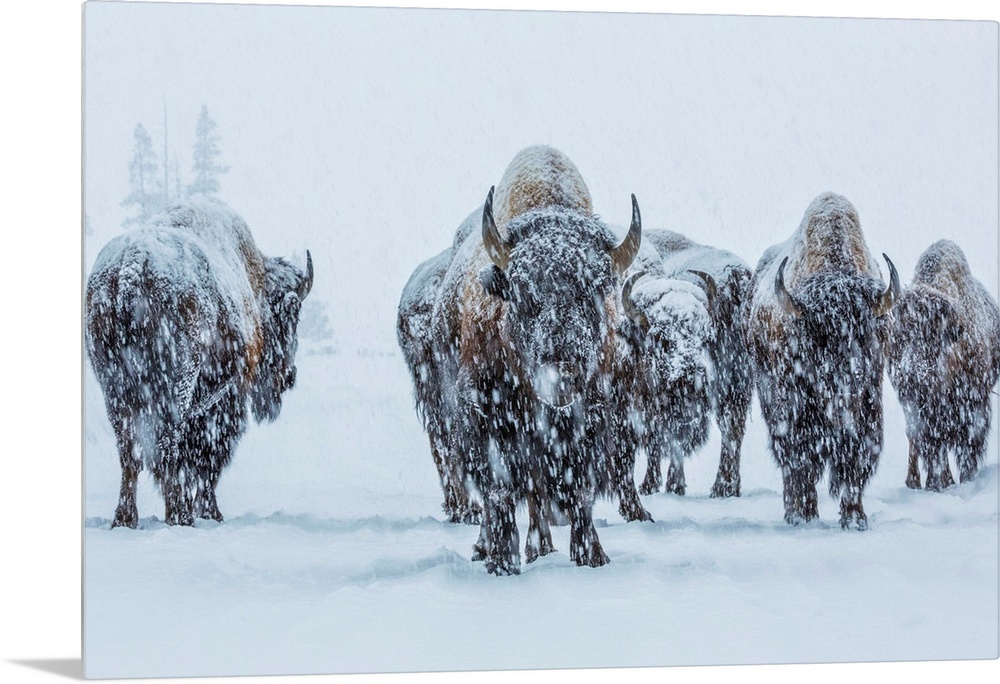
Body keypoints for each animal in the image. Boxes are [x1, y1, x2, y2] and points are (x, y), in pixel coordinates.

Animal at [85, 198, 312, 528]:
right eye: (291, 317)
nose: (289, 376)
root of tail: (132, 264)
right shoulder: (225, 396)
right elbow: (208, 457)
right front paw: (211, 513)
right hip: (178, 381)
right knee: (169, 442)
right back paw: (178, 515)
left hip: (113, 386)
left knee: (128, 449)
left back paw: (125, 518)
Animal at [436, 146, 640, 576]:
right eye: (522, 292)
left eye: (595, 293)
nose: (561, 373)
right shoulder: (486, 413)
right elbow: (498, 490)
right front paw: (501, 560)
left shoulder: (592, 416)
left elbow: (579, 488)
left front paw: (592, 555)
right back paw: (493, 547)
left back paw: (541, 546)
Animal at [744, 192, 900, 528]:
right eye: (817, 338)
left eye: (865, 335)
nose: (845, 383)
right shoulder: (794, 409)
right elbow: (800, 460)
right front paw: (803, 515)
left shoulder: (868, 409)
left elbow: (855, 463)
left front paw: (855, 519)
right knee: (790, 462)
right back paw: (796, 512)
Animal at [888, 240, 996, 492]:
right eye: (897, 337)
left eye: (932, 336)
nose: (909, 376)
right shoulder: (921, 412)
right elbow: (933, 447)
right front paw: (938, 483)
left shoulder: (975, 404)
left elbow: (967, 445)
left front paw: (964, 478)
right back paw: (914, 481)